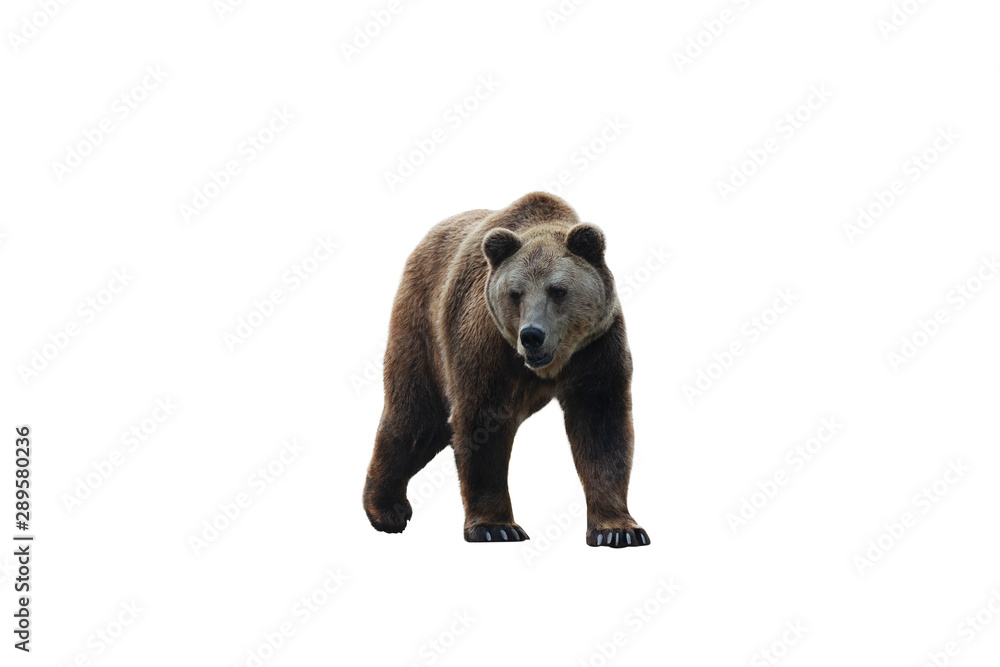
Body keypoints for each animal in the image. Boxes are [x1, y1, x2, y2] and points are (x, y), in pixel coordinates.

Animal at [363, 192, 648, 548]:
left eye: (558, 290)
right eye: (516, 292)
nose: (532, 335)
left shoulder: (596, 348)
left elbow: (602, 427)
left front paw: (618, 529)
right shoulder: (485, 343)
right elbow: (482, 422)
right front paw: (495, 526)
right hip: (422, 328)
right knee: (414, 417)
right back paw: (387, 510)